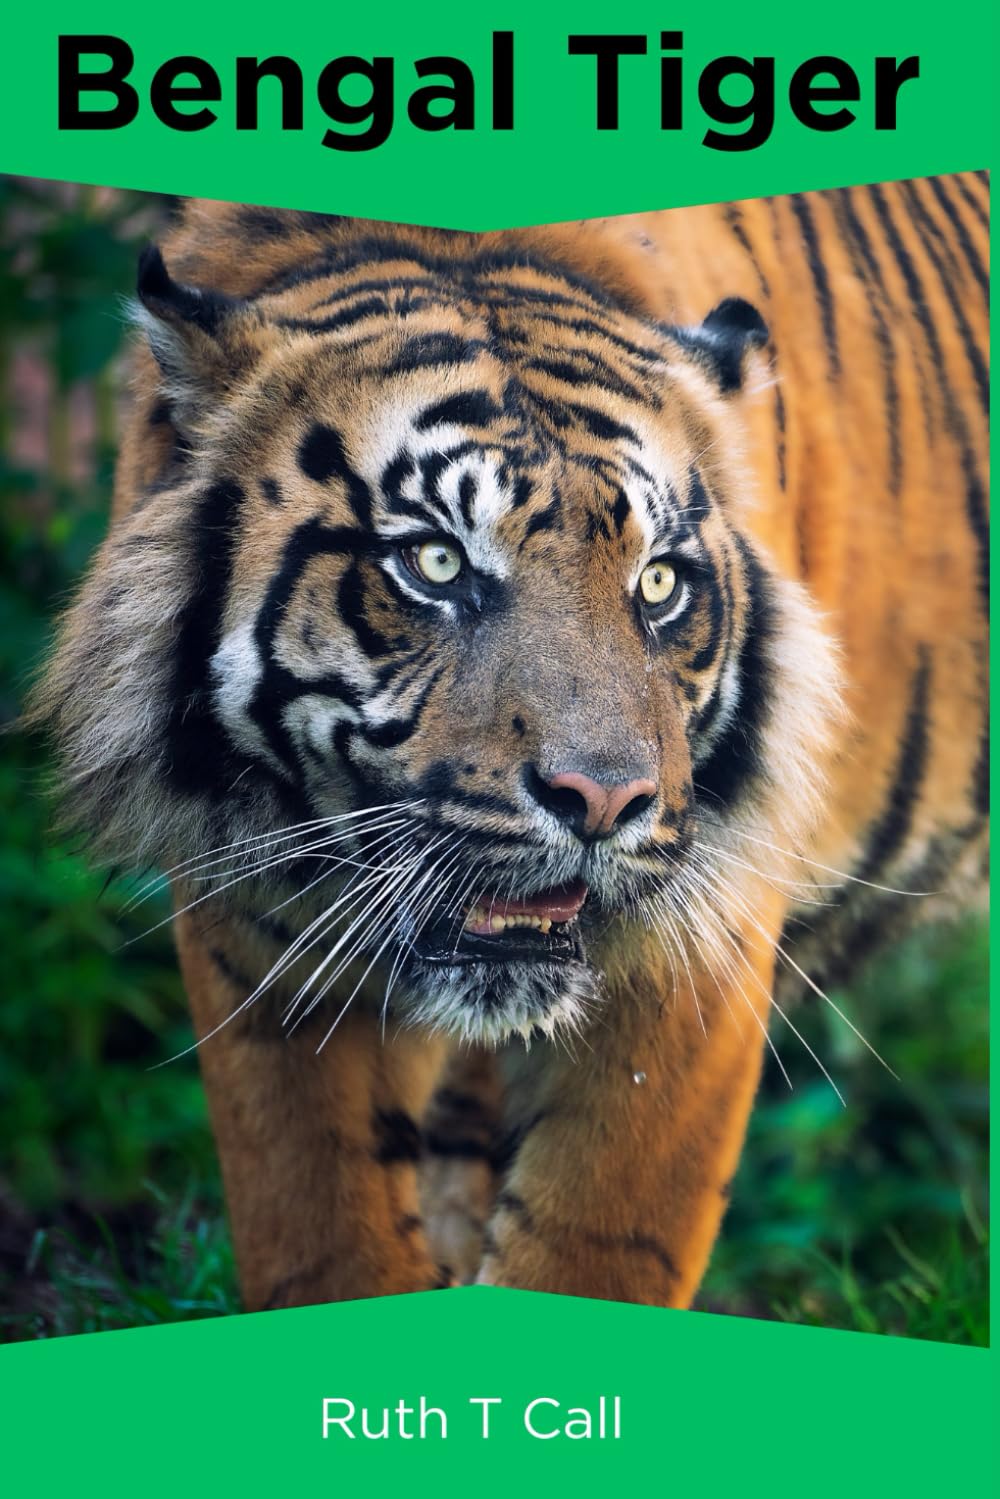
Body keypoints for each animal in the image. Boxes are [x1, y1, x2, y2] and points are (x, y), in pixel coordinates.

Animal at [32, 174, 988, 1313]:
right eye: (436, 562)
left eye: (657, 583)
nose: (603, 802)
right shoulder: (256, 928)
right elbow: (318, 1227)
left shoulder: (699, 937)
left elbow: (595, 1248)